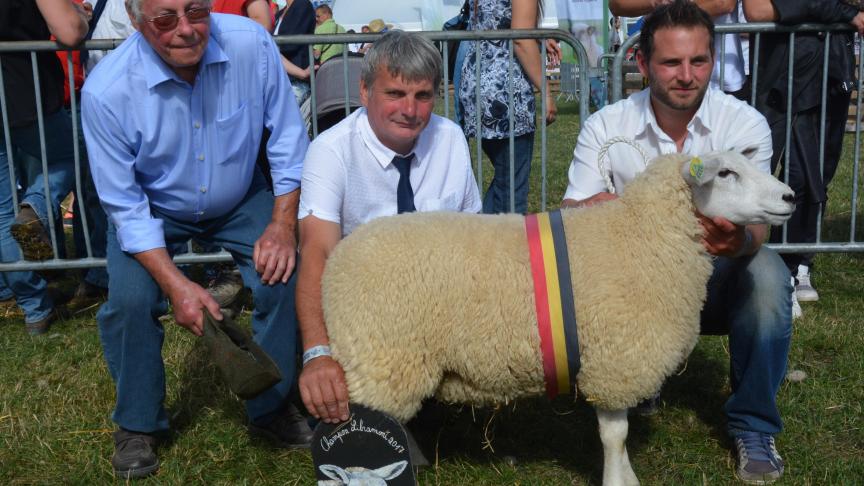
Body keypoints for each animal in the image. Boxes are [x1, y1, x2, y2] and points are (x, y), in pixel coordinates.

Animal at [320, 150, 792, 484]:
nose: (789, 196)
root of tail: (337, 262)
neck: (643, 236)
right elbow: (615, 437)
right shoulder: (613, 361)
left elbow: (619, 438)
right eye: (726, 173)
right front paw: (619, 481)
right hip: (381, 356)